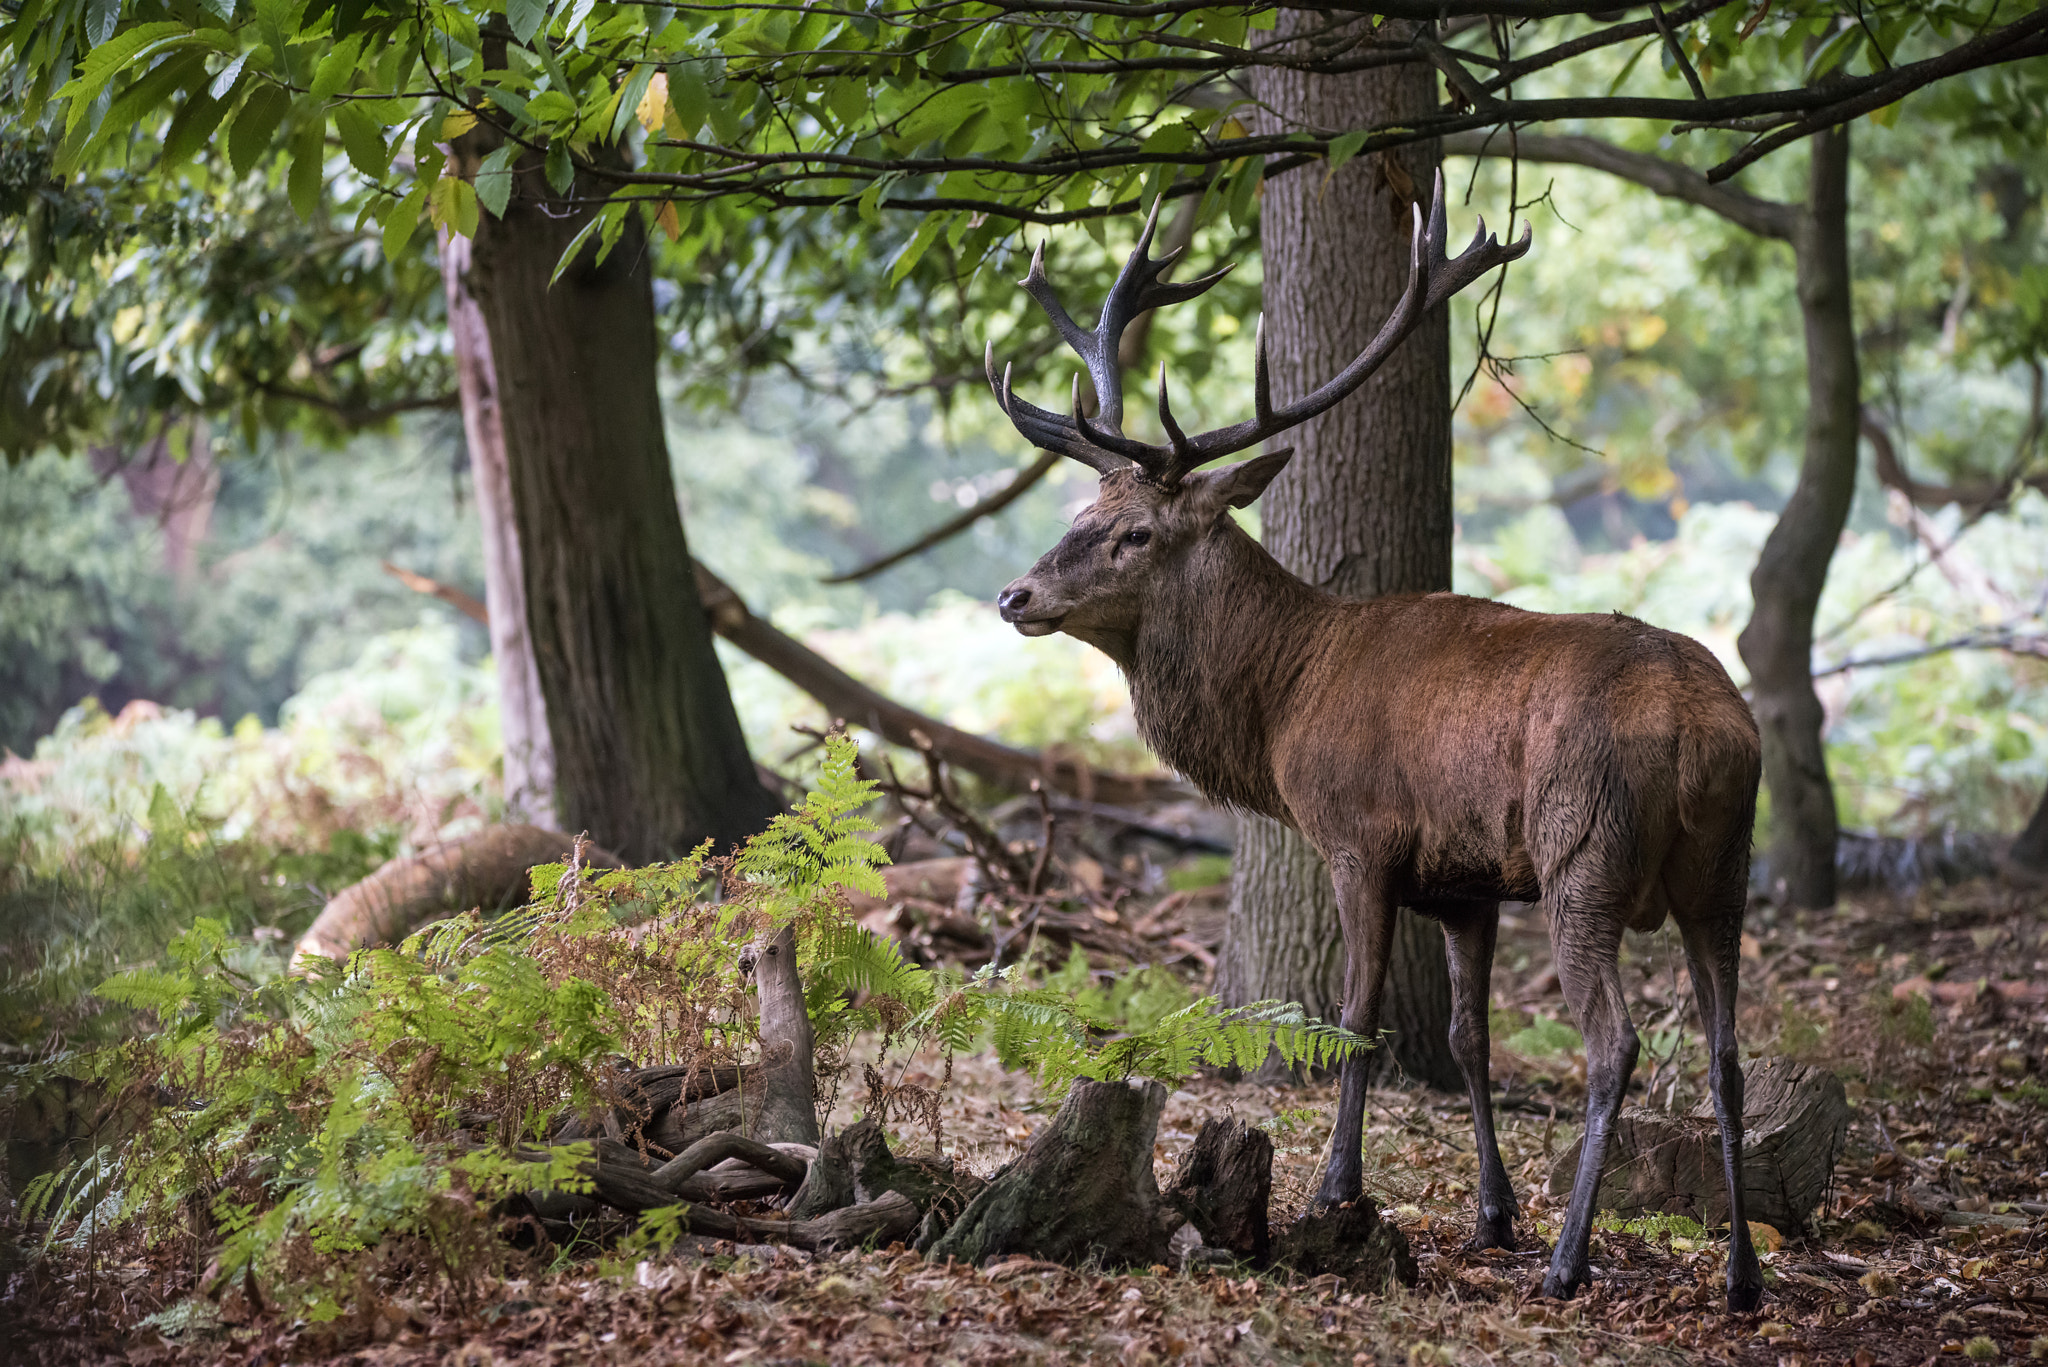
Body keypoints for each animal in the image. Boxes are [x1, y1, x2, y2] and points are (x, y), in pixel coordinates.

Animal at [985, 175, 1764, 1312]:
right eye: (1081, 507)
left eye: (1133, 532)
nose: (1015, 594)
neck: (1283, 700)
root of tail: (1700, 729)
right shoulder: (1467, 880)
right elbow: (1467, 1038)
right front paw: (1490, 1214)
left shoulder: (1360, 836)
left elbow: (1354, 1013)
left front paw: (1334, 1186)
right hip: (1725, 864)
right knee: (1726, 1050)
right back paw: (1743, 1275)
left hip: (1585, 851)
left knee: (1614, 1039)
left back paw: (1568, 1260)